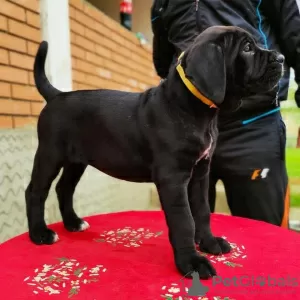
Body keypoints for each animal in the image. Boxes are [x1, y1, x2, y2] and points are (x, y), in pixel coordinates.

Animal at [25, 25, 284, 278]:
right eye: (247, 48)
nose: (281, 58)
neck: (193, 109)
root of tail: (57, 95)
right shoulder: (173, 178)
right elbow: (184, 220)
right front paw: (191, 262)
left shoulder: (200, 173)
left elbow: (202, 211)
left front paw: (209, 243)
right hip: (50, 153)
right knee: (35, 191)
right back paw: (40, 234)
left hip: (76, 160)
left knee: (64, 188)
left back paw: (73, 223)